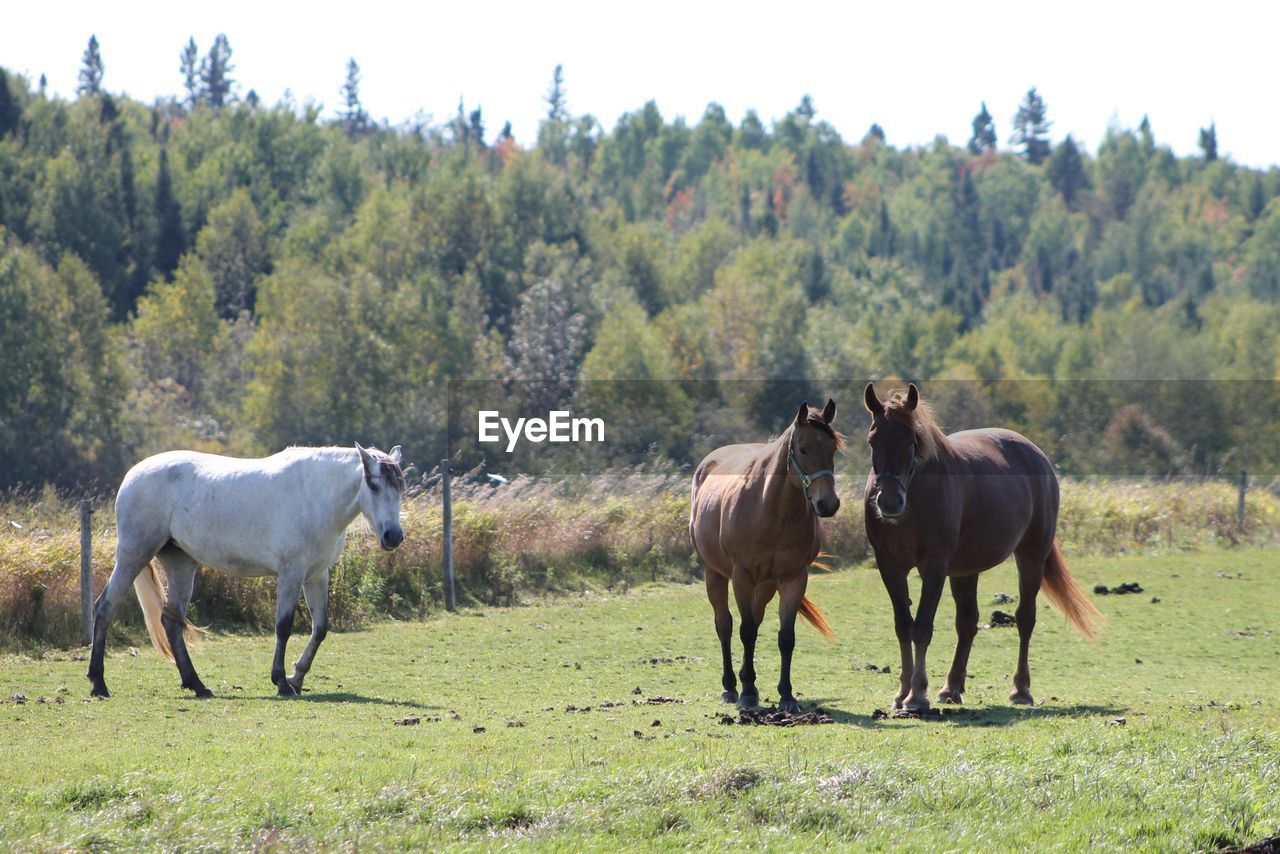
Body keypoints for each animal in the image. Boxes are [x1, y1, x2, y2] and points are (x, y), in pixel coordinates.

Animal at [88, 445, 404, 696]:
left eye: (399, 487)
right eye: (374, 485)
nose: (393, 536)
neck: (316, 496)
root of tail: (133, 475)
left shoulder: (316, 575)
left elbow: (321, 628)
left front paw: (297, 677)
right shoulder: (291, 574)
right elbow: (283, 627)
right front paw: (282, 682)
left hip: (181, 563)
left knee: (171, 622)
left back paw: (197, 685)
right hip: (134, 554)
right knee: (105, 607)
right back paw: (98, 683)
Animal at [691, 402, 839, 717]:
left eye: (833, 448)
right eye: (803, 448)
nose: (828, 503)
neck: (771, 509)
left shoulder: (793, 578)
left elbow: (785, 637)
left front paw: (786, 695)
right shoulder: (742, 577)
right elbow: (745, 631)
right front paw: (747, 692)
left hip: (766, 585)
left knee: (755, 622)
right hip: (714, 574)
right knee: (725, 624)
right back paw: (731, 687)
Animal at [860, 384, 1100, 711]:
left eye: (911, 441)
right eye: (873, 440)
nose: (889, 502)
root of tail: (1035, 454)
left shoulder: (934, 567)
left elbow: (921, 628)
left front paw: (917, 694)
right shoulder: (890, 567)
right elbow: (903, 626)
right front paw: (902, 693)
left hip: (1031, 556)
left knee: (1025, 619)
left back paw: (1020, 690)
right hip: (965, 570)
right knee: (967, 623)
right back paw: (951, 688)